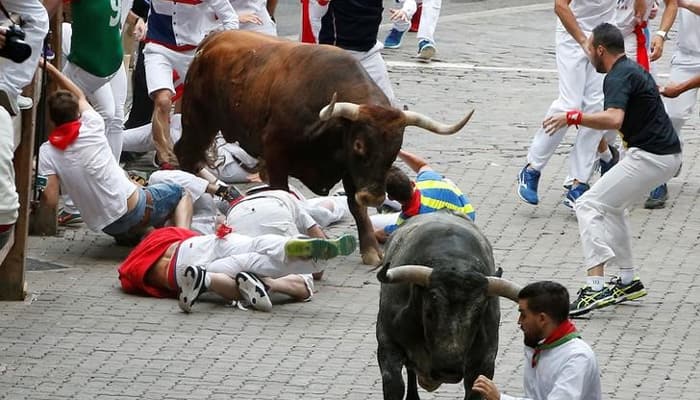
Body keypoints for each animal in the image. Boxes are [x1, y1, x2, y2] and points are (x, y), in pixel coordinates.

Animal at [173, 31, 474, 266]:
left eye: (395, 150)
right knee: (186, 154)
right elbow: (285, 196)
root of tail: (212, 39)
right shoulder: (277, 156)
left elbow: (356, 207)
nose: (375, 197)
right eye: (359, 145)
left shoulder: (350, 171)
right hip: (198, 120)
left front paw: (370, 250)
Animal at [378, 211, 520, 398]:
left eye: (478, 313)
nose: (448, 370)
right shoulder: (387, 344)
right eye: (429, 311)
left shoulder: (485, 361)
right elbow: (395, 386)